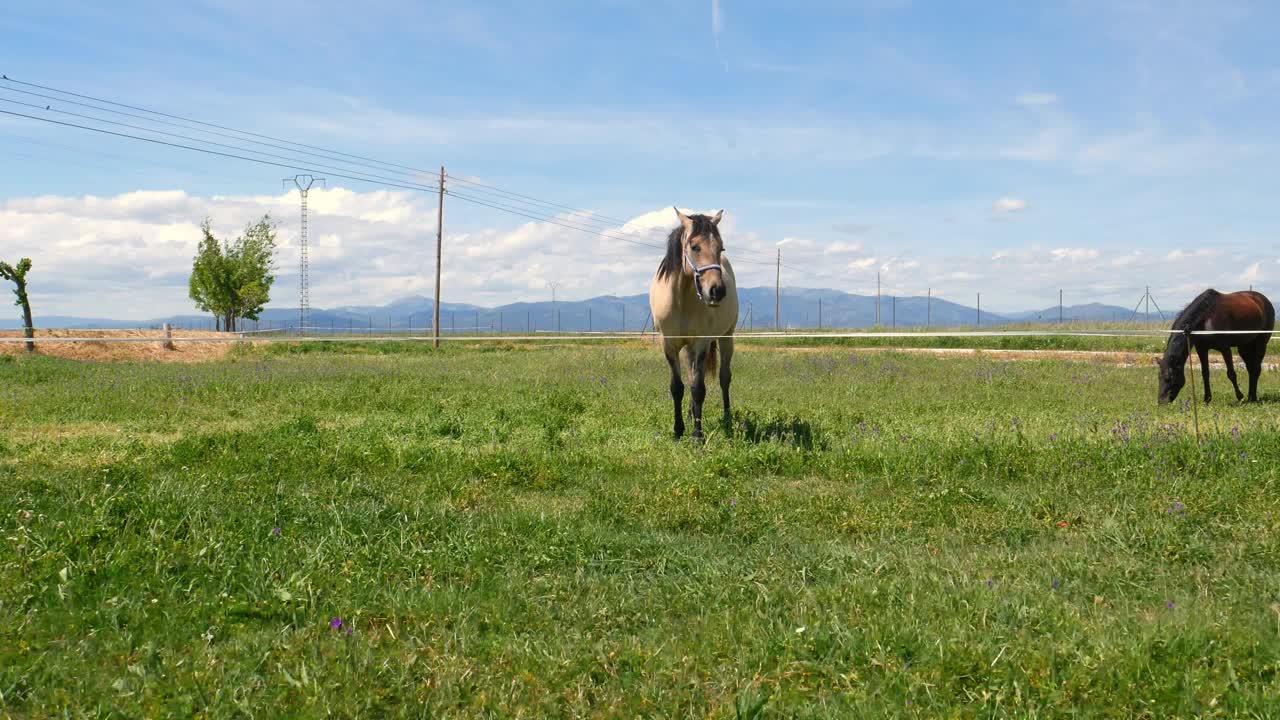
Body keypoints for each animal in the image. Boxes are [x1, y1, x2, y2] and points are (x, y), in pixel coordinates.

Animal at [650, 207, 742, 438]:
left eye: (720, 247)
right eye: (695, 246)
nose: (717, 291)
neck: (681, 300)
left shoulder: (701, 343)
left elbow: (698, 389)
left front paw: (697, 435)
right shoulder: (669, 345)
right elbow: (677, 387)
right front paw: (678, 430)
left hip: (726, 337)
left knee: (724, 378)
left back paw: (727, 418)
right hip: (687, 349)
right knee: (691, 376)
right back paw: (691, 415)